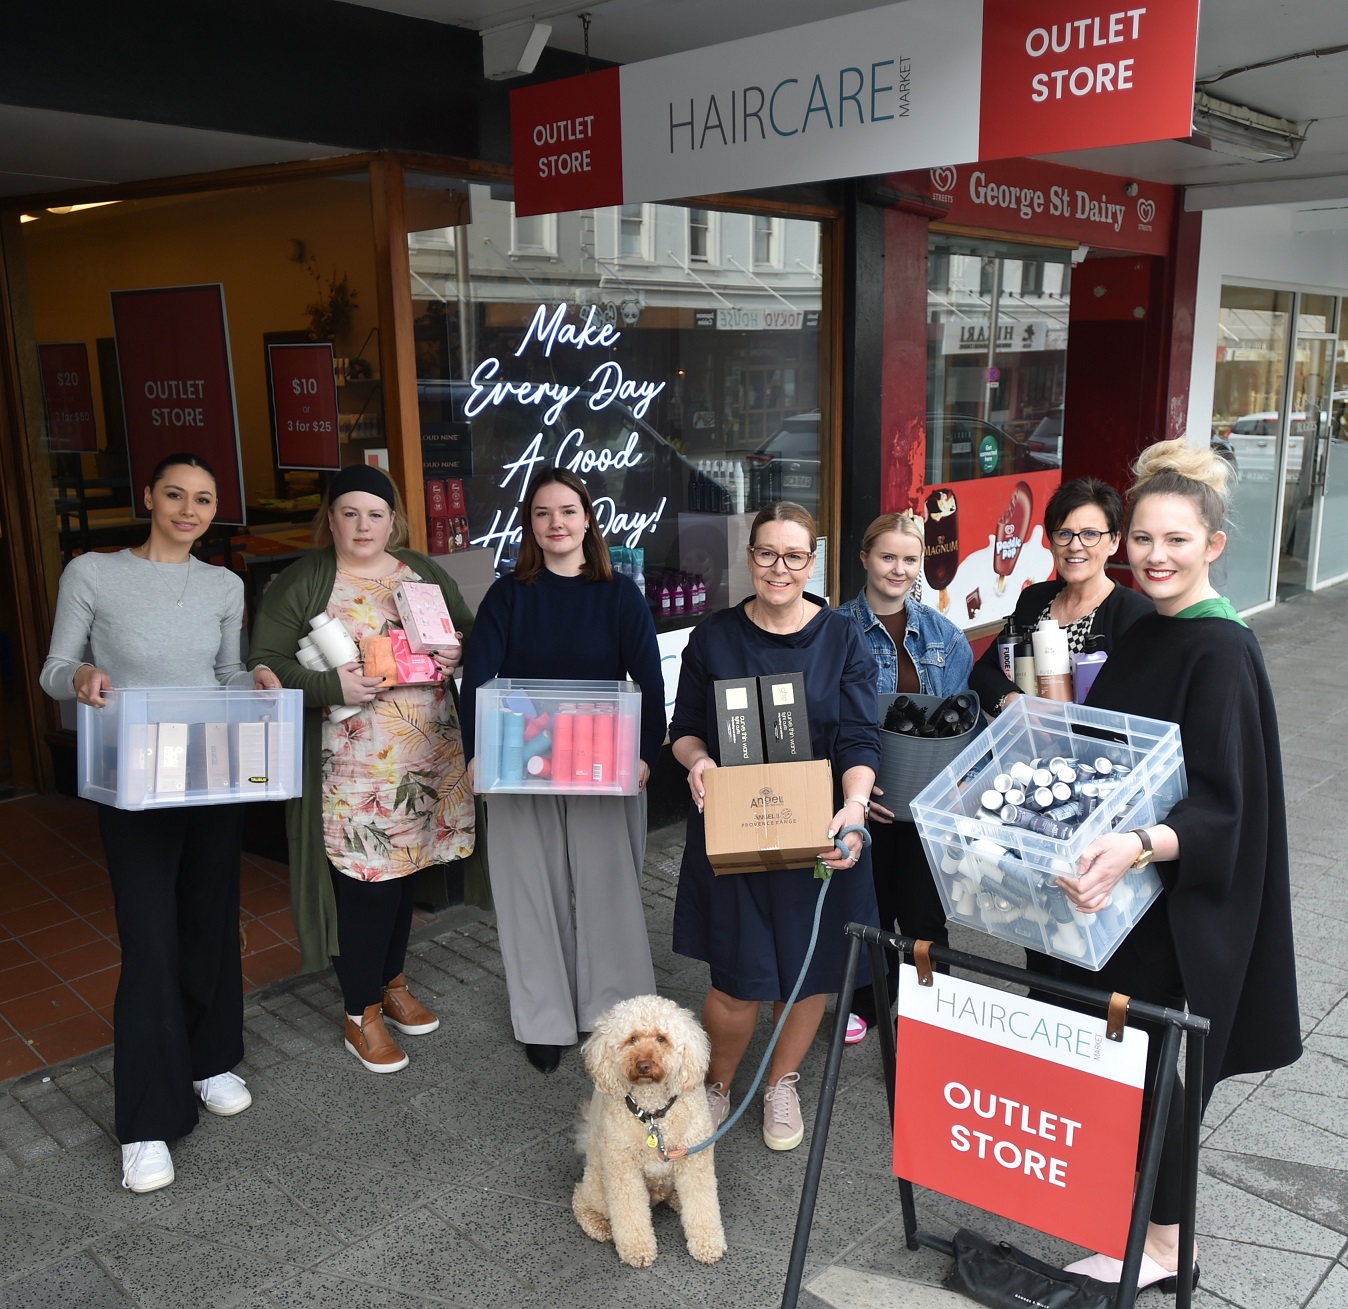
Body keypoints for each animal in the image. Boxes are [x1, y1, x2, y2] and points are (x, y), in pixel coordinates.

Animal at [571, 997, 727, 1261]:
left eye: (661, 1038)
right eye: (631, 1039)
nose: (644, 1064)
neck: (653, 1113)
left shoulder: (694, 1161)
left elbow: (702, 1203)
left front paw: (708, 1243)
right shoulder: (622, 1169)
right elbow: (630, 1212)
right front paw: (637, 1249)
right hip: (598, 1182)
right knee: (581, 1196)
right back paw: (598, 1224)